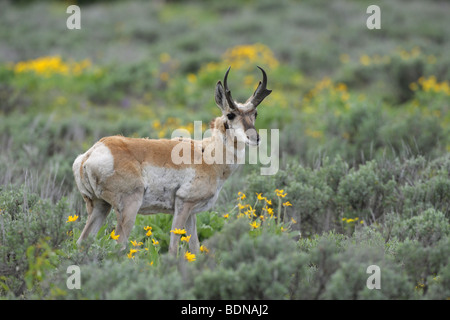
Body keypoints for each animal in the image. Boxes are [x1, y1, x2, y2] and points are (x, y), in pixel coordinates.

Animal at [73, 65, 270, 255]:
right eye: (230, 115)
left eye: (255, 114)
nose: (255, 138)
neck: (206, 154)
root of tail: (89, 155)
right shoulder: (183, 204)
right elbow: (174, 247)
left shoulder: (191, 213)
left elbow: (195, 247)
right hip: (129, 207)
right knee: (118, 246)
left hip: (100, 207)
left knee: (82, 242)